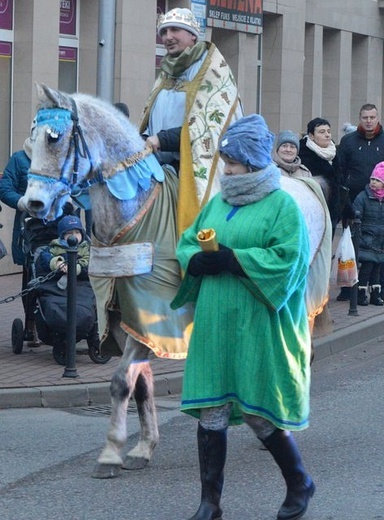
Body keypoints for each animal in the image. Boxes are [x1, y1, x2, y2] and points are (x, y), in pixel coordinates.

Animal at [22, 84, 332, 480]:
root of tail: (303, 183)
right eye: (31, 139)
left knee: (296, 351)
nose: (31, 203)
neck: (136, 214)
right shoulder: (127, 317)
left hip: (295, 292)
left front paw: (110, 454)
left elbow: (121, 381)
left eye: (54, 138)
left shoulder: (155, 315)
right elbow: (139, 385)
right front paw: (142, 448)